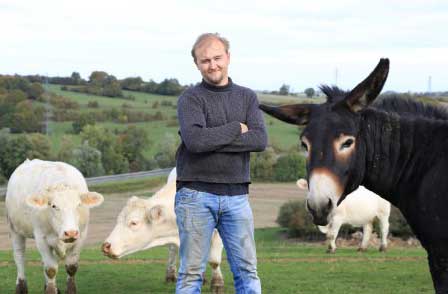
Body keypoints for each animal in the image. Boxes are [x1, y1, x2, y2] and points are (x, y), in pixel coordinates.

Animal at [5, 160, 104, 292]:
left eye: (79, 204)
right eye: (53, 206)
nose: (70, 232)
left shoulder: (81, 235)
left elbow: (71, 267)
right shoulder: (41, 237)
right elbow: (51, 269)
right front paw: (51, 289)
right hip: (14, 229)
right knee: (19, 257)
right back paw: (21, 287)